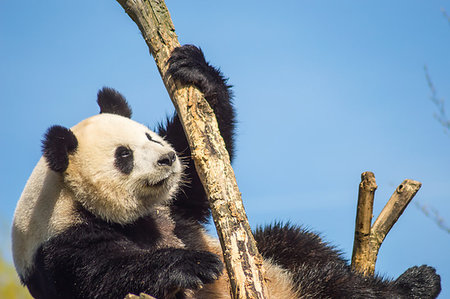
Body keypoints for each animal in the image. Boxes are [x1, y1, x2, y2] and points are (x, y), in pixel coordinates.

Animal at [12, 45, 442, 299]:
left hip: (276, 263)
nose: (167, 160)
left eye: (149, 135)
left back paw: (415, 283)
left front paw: (195, 70)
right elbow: (106, 275)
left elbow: (199, 167)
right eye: (124, 155)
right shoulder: (62, 247)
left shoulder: (174, 207)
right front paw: (193, 265)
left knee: (298, 246)